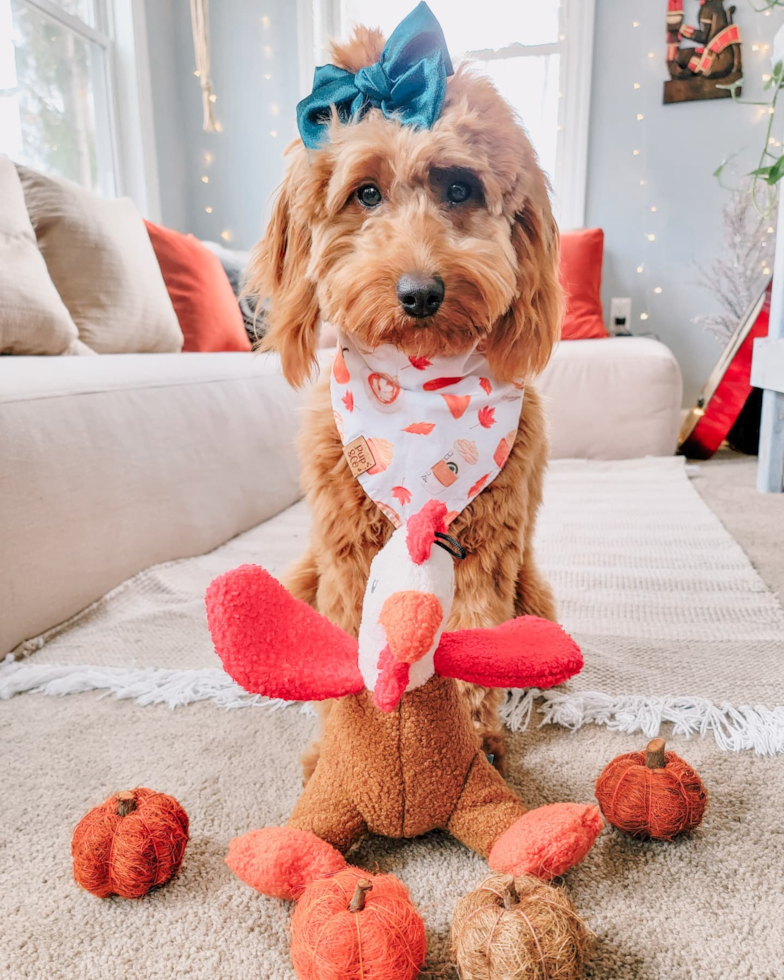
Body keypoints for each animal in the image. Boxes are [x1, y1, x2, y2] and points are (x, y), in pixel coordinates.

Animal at [248, 24, 560, 780]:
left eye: (460, 187)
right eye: (365, 193)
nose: (420, 292)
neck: (419, 388)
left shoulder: (485, 549)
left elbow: (470, 641)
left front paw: (470, 743)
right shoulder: (346, 549)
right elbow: (348, 646)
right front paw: (343, 748)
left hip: (533, 591)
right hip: (305, 570)